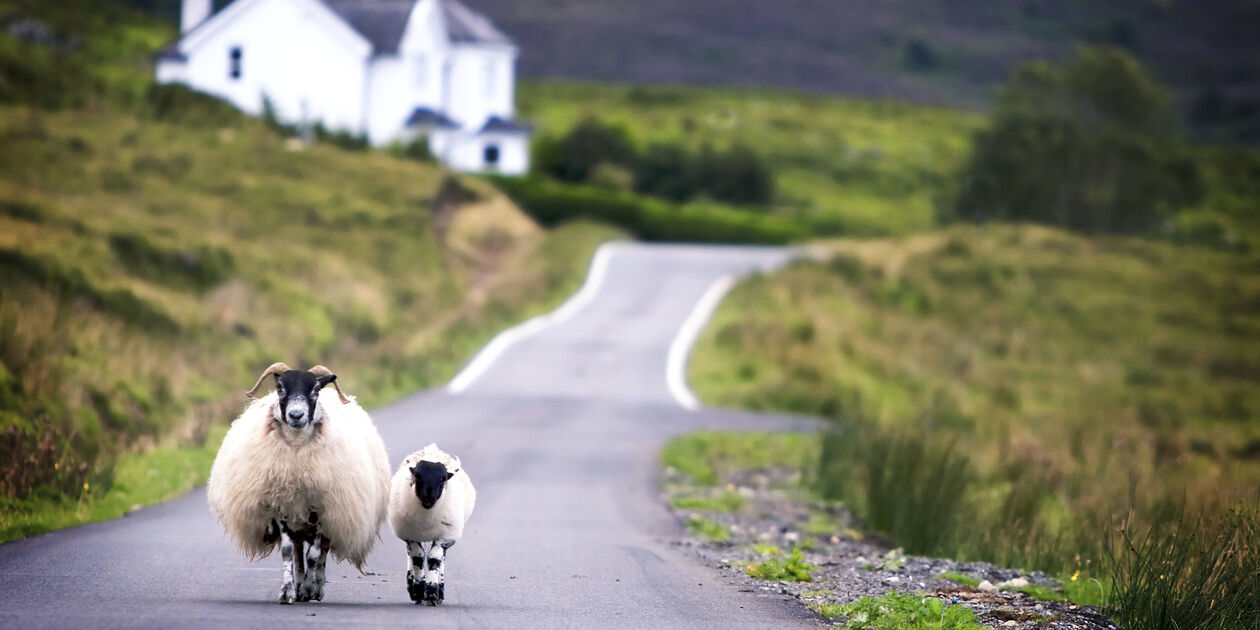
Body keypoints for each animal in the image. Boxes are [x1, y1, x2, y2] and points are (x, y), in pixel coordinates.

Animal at [207, 362, 391, 604]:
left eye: (315, 390)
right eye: (280, 388)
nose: (296, 415)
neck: (296, 453)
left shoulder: (323, 508)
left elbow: (314, 554)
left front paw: (311, 587)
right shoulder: (281, 505)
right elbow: (288, 551)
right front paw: (288, 591)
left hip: (332, 514)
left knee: (321, 551)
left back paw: (315, 587)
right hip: (298, 519)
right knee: (297, 551)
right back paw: (301, 585)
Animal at [388, 443, 476, 605]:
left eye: (443, 478)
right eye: (417, 476)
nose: (428, 496)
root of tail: (433, 450)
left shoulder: (445, 537)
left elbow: (434, 559)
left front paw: (432, 592)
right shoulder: (411, 535)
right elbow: (418, 557)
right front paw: (418, 590)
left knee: (440, 558)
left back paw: (439, 590)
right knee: (410, 554)